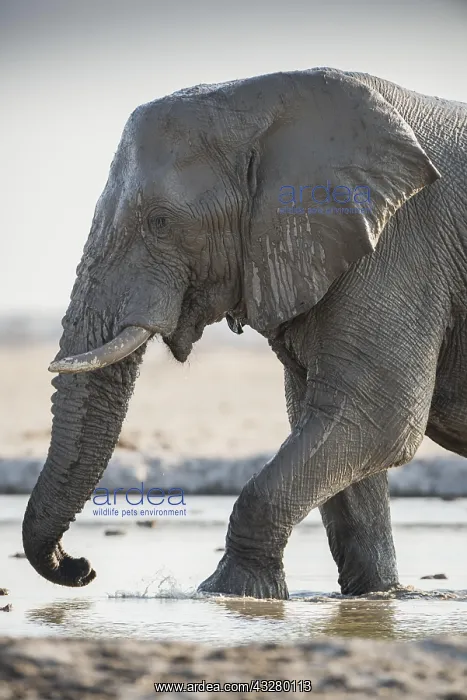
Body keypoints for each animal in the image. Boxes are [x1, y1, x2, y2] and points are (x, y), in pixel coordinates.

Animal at [21, 66, 467, 600]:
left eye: (160, 222)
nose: (82, 567)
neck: (264, 100)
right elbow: (335, 430)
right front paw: (377, 598)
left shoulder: (400, 248)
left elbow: (378, 420)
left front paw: (227, 592)